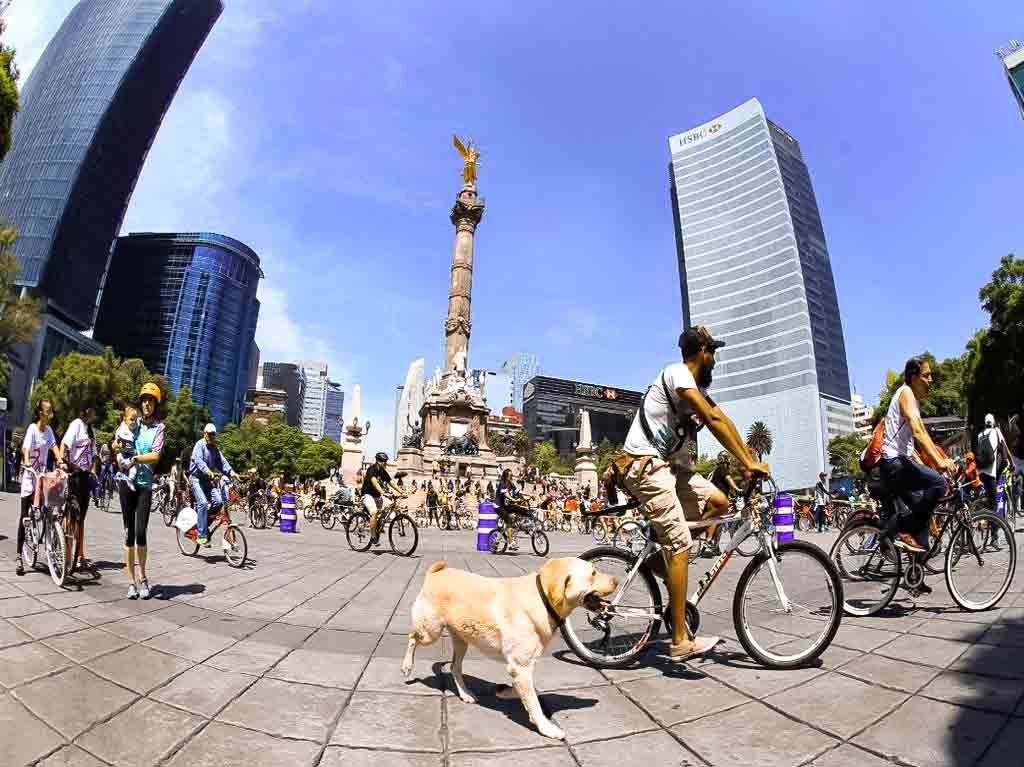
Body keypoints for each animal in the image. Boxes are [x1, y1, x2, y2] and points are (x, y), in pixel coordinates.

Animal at [401, 557, 614, 737]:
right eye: (593, 572)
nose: (617, 580)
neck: (543, 598)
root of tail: (435, 573)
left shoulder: (522, 667)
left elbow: (527, 692)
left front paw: (504, 691)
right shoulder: (520, 666)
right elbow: (534, 702)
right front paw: (547, 728)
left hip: (462, 640)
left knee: (454, 667)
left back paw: (466, 694)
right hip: (431, 631)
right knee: (412, 637)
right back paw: (406, 667)